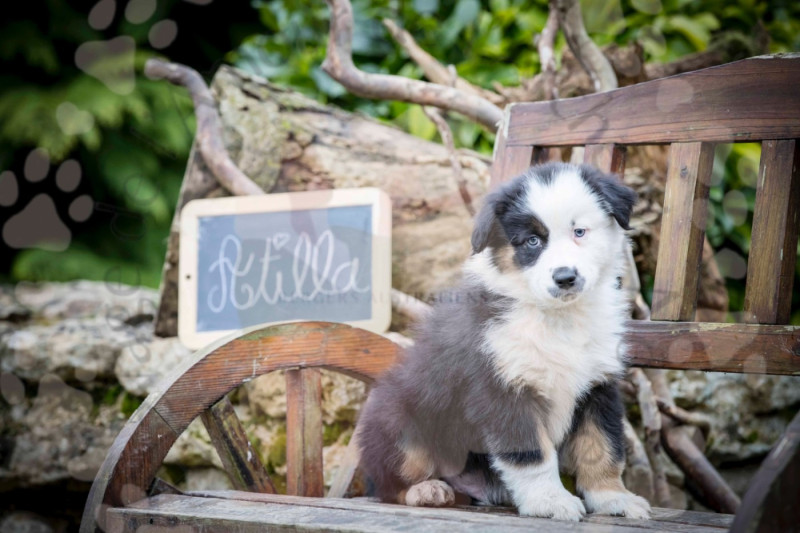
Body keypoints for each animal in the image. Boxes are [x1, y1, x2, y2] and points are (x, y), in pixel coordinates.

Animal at [357, 162, 651, 521]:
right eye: (532, 241)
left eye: (580, 232)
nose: (565, 277)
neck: (558, 317)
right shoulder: (504, 387)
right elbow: (532, 455)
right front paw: (550, 502)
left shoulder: (598, 385)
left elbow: (602, 447)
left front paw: (613, 498)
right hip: (399, 421)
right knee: (386, 483)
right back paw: (427, 491)